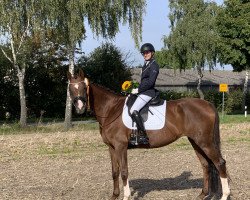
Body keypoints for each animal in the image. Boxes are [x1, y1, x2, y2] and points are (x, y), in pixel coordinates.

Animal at [67, 69, 230, 199]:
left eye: (83, 87)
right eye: (70, 88)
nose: (80, 107)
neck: (110, 109)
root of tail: (208, 104)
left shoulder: (120, 147)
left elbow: (124, 172)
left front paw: (126, 196)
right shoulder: (111, 148)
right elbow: (115, 171)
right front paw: (114, 196)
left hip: (205, 142)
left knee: (219, 163)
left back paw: (224, 195)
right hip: (195, 142)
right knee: (206, 165)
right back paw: (203, 194)